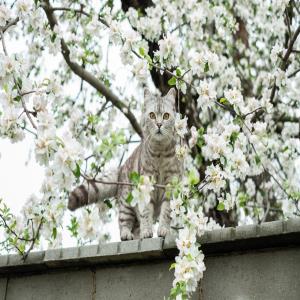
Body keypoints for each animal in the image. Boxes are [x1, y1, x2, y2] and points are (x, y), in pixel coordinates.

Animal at [67, 88, 183, 240]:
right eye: (152, 115)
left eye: (166, 116)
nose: (159, 124)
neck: (160, 153)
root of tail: (121, 168)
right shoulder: (146, 184)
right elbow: (146, 212)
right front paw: (147, 231)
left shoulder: (171, 184)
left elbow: (166, 211)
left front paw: (163, 229)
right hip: (126, 203)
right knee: (124, 223)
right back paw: (127, 234)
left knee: (136, 225)